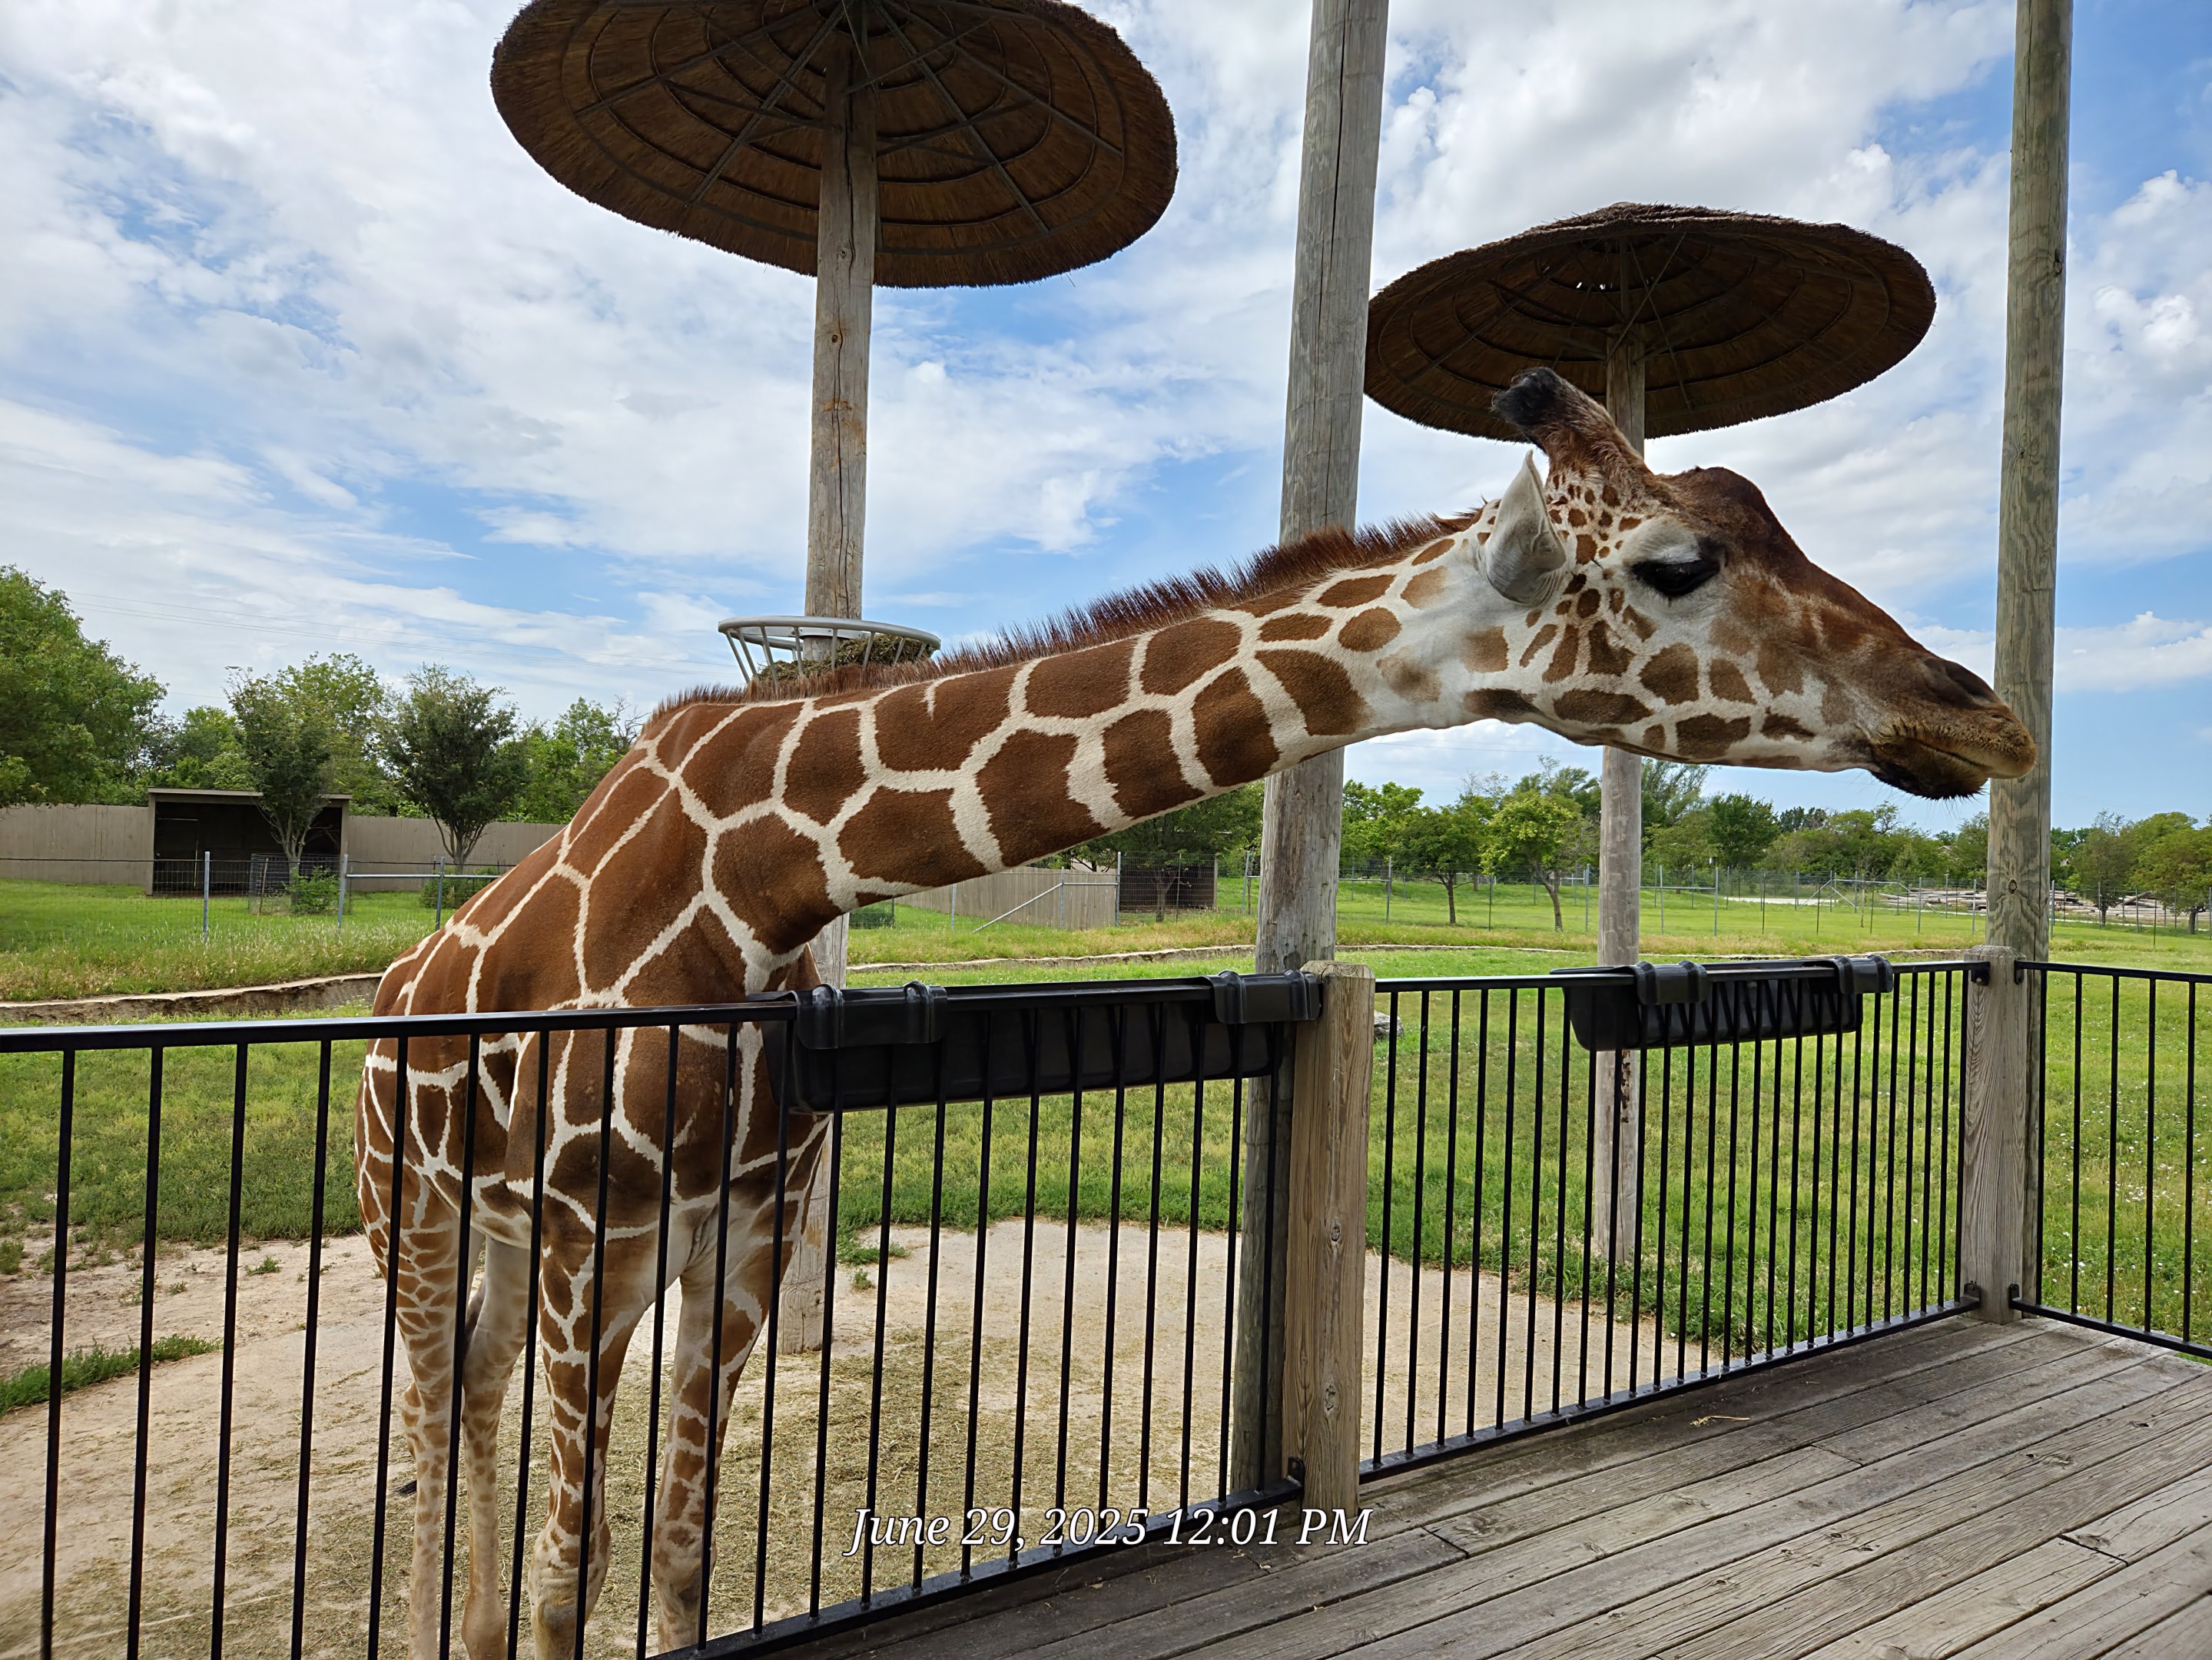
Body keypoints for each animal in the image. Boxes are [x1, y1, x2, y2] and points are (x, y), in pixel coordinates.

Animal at [354, 366, 2032, 1659]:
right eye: (1678, 563)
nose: (1981, 716)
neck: (762, 875)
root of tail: (387, 995)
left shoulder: (738, 1231)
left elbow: (680, 1563)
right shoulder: (596, 1225)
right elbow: (573, 1584)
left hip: (520, 1242)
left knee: (475, 1408)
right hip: (417, 1211)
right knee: (435, 1424)